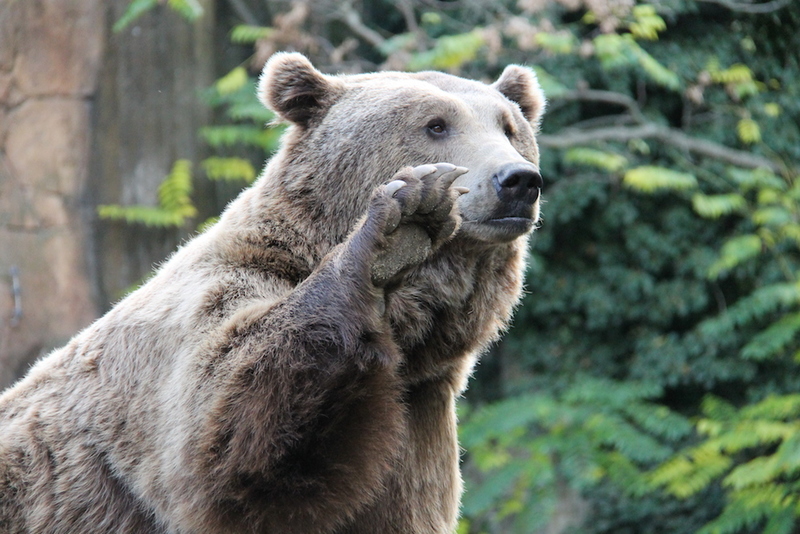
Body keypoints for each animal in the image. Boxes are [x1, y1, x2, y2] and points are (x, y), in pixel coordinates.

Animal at [0, 51, 544, 534]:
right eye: (436, 124)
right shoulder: (189, 329)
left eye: (509, 128)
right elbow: (227, 437)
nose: (517, 180)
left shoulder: (419, 419)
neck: (411, 336)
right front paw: (402, 225)